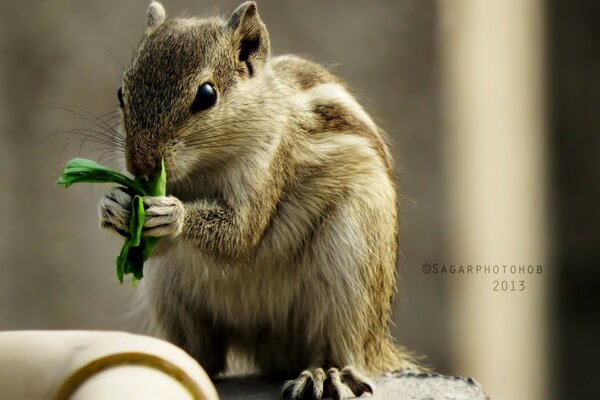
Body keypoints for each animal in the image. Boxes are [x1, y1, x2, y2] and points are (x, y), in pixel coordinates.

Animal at [97, 1, 418, 398]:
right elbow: (154, 244)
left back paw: (324, 374)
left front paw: (173, 213)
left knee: (342, 347)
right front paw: (113, 205)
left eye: (207, 95)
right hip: (169, 292)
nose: (139, 165)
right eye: (120, 93)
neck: (206, 166)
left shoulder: (267, 166)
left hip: (351, 268)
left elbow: (240, 234)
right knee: (206, 357)